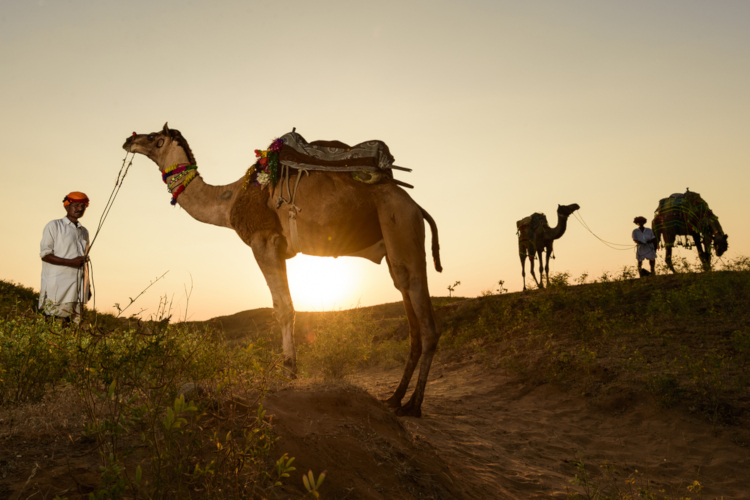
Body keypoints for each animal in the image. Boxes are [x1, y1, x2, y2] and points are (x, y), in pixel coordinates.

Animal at [121, 123, 444, 416]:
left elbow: (283, 308)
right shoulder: (281, 250)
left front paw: (288, 370)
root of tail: (416, 207)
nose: (128, 139)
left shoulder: (263, 241)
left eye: (155, 137)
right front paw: (291, 368)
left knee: (426, 319)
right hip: (393, 246)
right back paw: (394, 399)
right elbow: (286, 304)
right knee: (409, 308)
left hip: (401, 226)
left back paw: (413, 405)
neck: (229, 201)